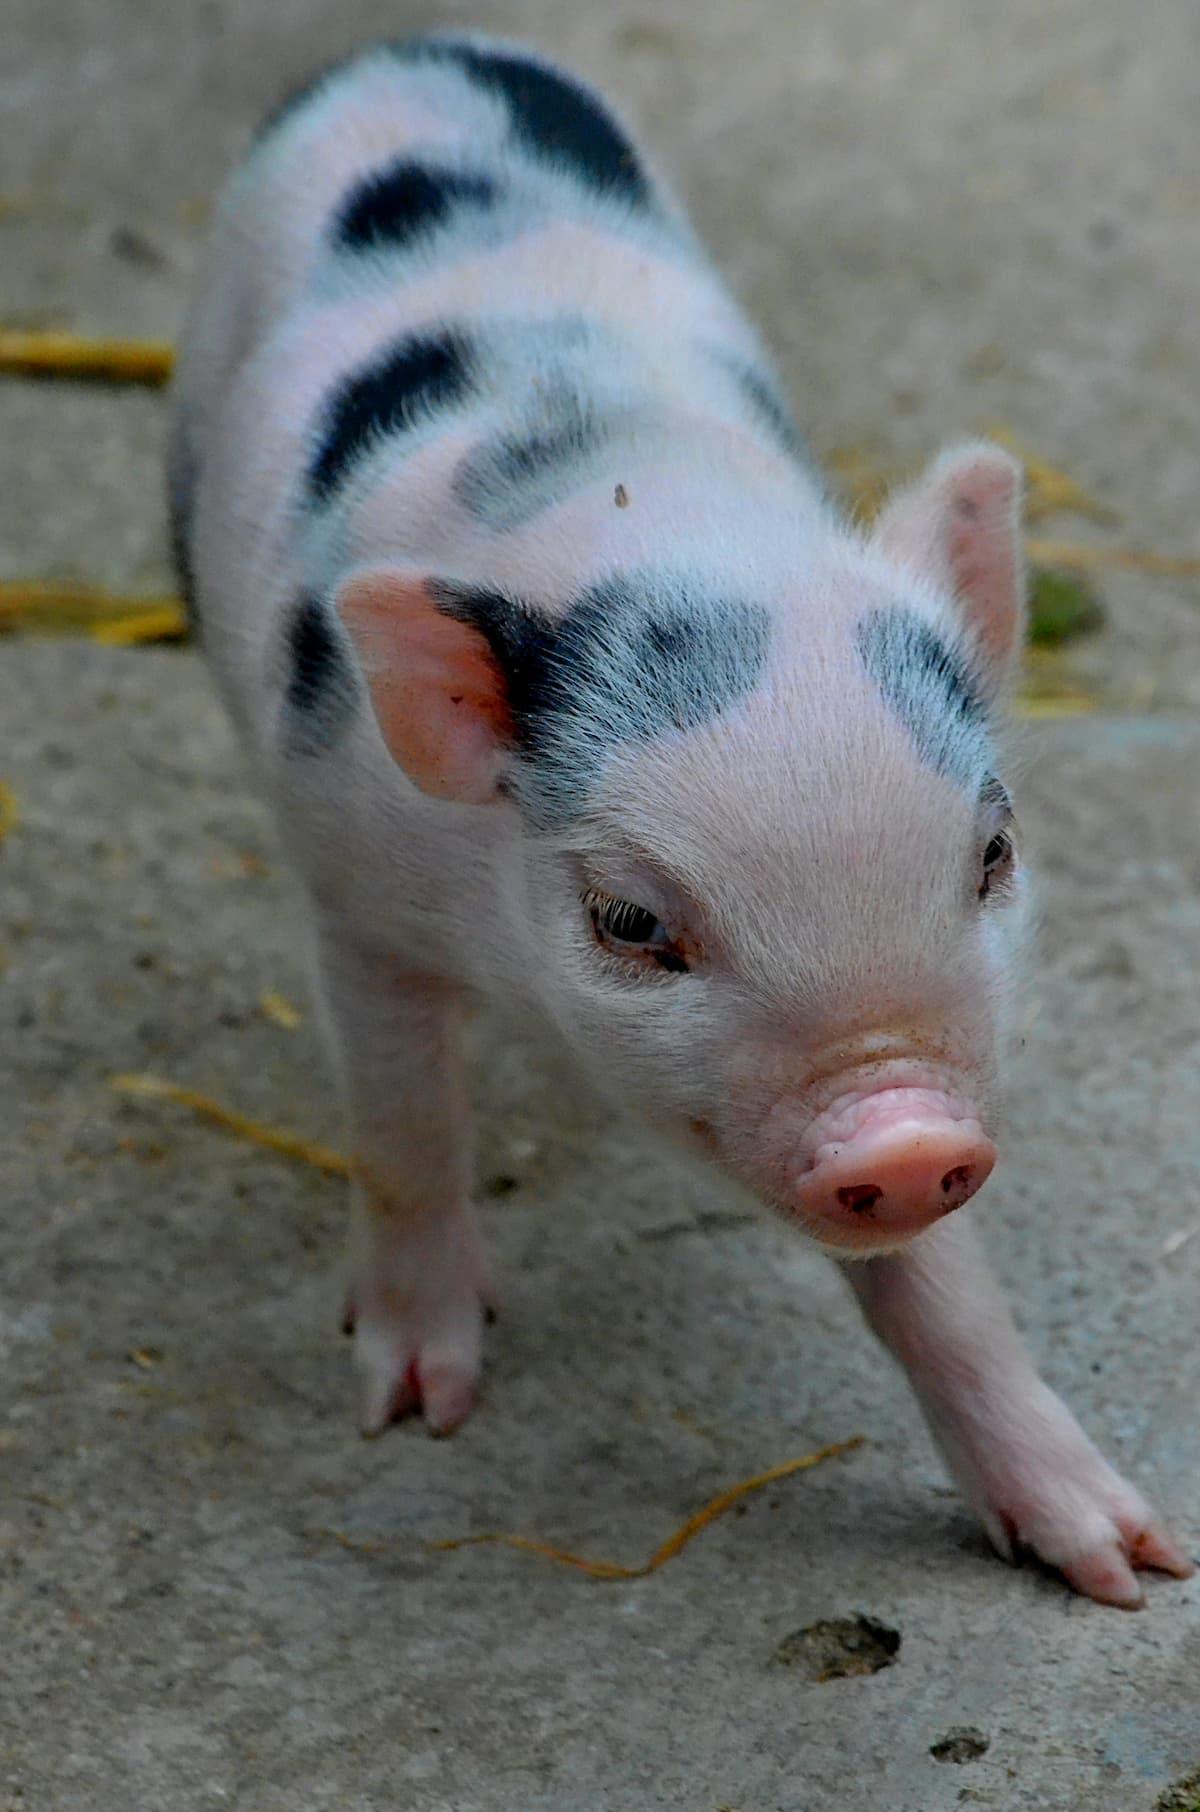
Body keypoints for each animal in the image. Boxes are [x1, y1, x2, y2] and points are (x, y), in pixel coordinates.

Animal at [169, 32, 1193, 1607]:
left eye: (993, 856)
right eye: (632, 921)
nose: (903, 1137)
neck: (649, 523)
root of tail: (416, 45)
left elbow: (940, 1289)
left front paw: (1128, 1568)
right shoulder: (354, 890)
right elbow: (403, 1130)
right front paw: (415, 1409)